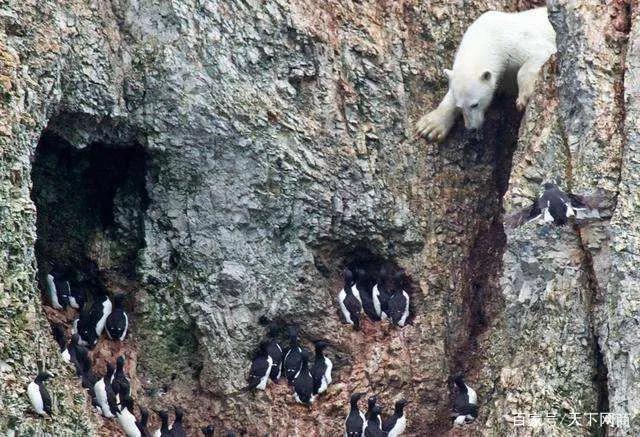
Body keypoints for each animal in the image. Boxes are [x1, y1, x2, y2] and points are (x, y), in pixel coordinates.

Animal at [416, 7, 556, 141]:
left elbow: (542, 52)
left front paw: (523, 98)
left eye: (475, 104)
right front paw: (429, 127)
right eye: (459, 106)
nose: (471, 128)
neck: (490, 37)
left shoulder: (517, 43)